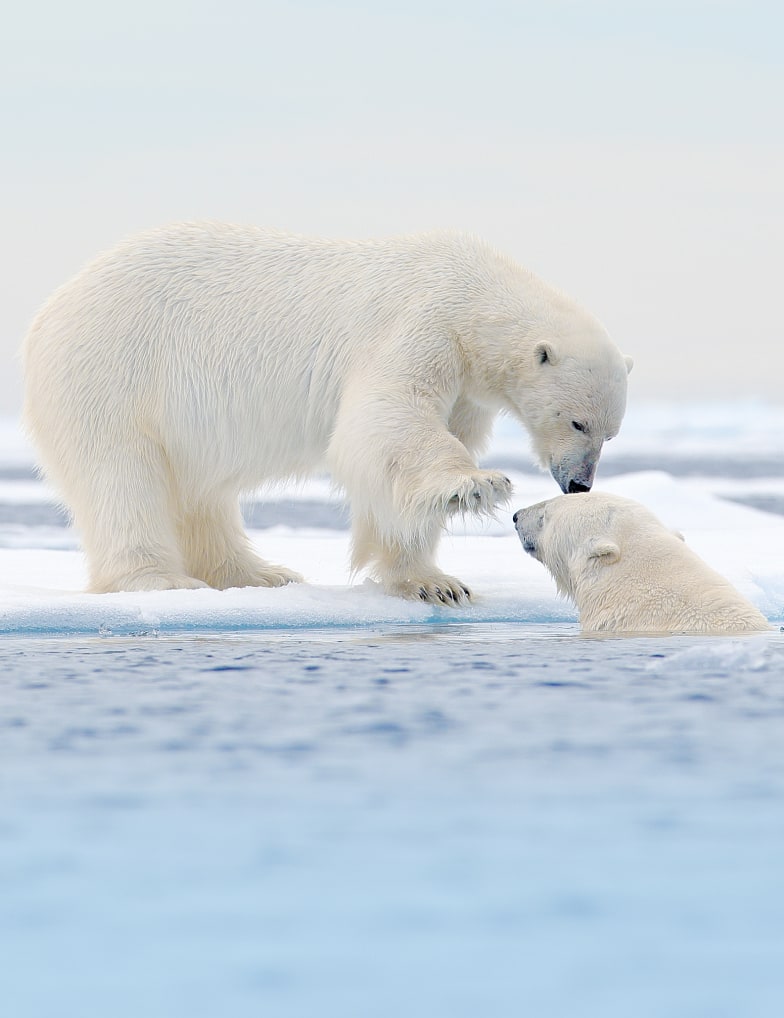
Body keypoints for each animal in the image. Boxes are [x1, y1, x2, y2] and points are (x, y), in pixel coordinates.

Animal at [24, 222, 631, 598]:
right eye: (577, 420)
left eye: (610, 433)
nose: (578, 484)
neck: (470, 294)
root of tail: (51, 310)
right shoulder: (419, 325)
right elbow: (387, 419)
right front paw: (478, 484)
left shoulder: (463, 384)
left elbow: (402, 467)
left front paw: (434, 582)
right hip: (114, 373)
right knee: (122, 477)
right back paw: (161, 580)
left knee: (201, 493)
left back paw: (261, 573)